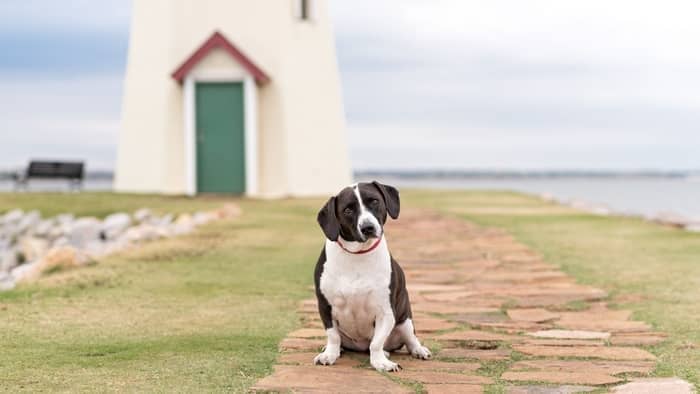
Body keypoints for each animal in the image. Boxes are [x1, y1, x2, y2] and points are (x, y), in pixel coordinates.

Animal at [314, 180, 432, 370]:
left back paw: (418, 350)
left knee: (409, 339)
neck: (358, 255)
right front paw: (329, 354)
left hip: (405, 321)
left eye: (375, 201)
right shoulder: (326, 307)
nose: (367, 227)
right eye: (348, 210)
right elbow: (333, 336)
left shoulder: (385, 311)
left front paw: (381, 362)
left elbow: (376, 343)